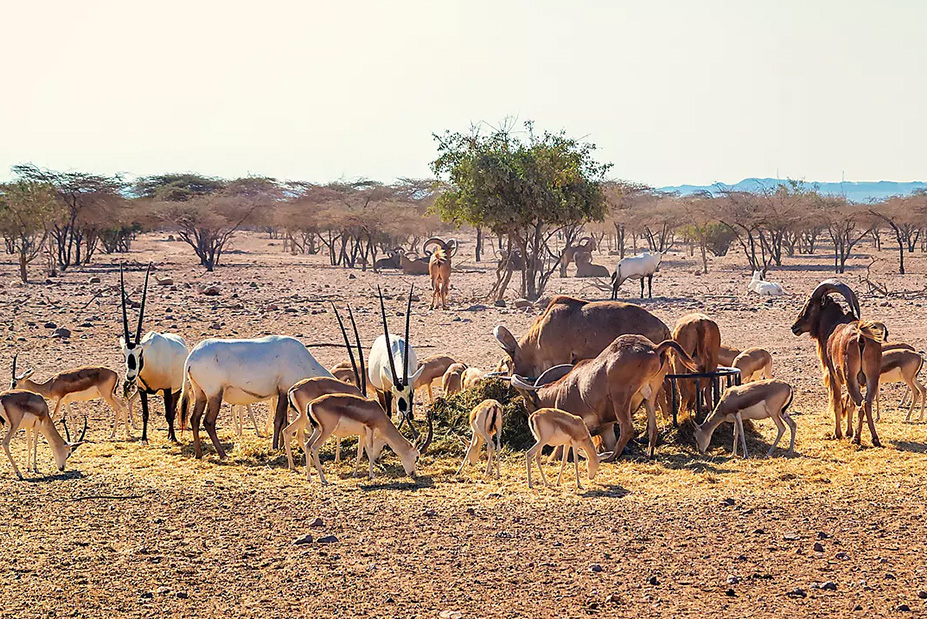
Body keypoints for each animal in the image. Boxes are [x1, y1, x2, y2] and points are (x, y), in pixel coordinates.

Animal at [118, 264, 189, 444]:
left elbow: (169, 414)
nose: (130, 376)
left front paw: (173, 438)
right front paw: (144, 439)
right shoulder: (142, 390)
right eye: (124, 354)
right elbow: (145, 414)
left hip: (176, 389)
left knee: (172, 410)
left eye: (140, 352)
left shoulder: (168, 389)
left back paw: (171, 435)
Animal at [180, 336, 330, 458]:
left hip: (201, 394)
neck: (302, 360)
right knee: (208, 422)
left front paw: (282, 446)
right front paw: (275, 447)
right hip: (214, 394)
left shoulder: (283, 393)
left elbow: (284, 422)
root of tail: (191, 358)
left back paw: (198, 454)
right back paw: (222, 454)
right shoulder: (283, 390)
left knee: (194, 419)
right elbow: (278, 420)